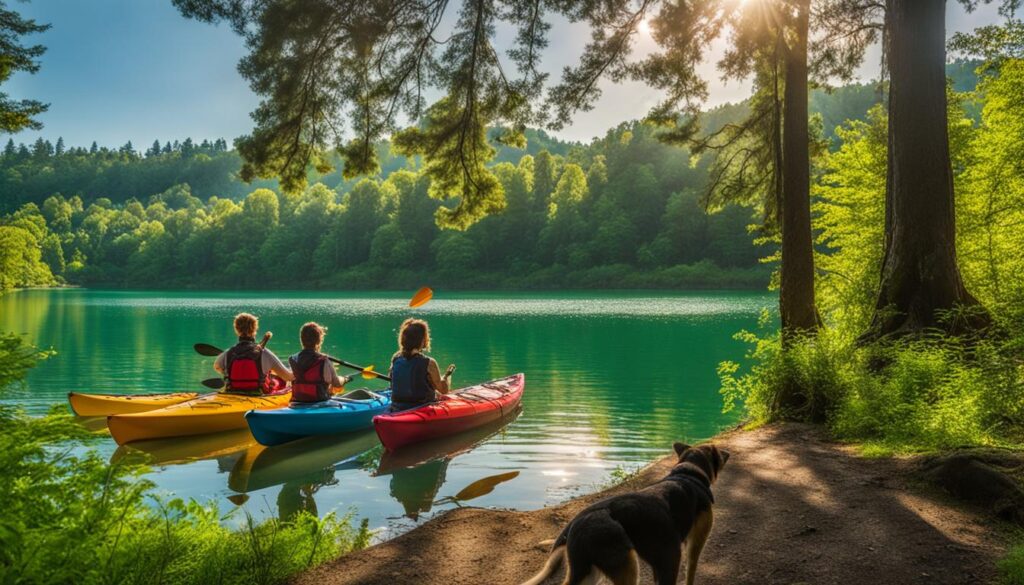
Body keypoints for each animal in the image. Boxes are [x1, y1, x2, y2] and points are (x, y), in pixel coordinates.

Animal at [520, 444, 729, 585]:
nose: (728, 454)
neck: (689, 473)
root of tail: (575, 522)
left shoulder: (664, 560)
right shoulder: (693, 545)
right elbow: (691, 572)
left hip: (588, 571)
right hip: (626, 566)